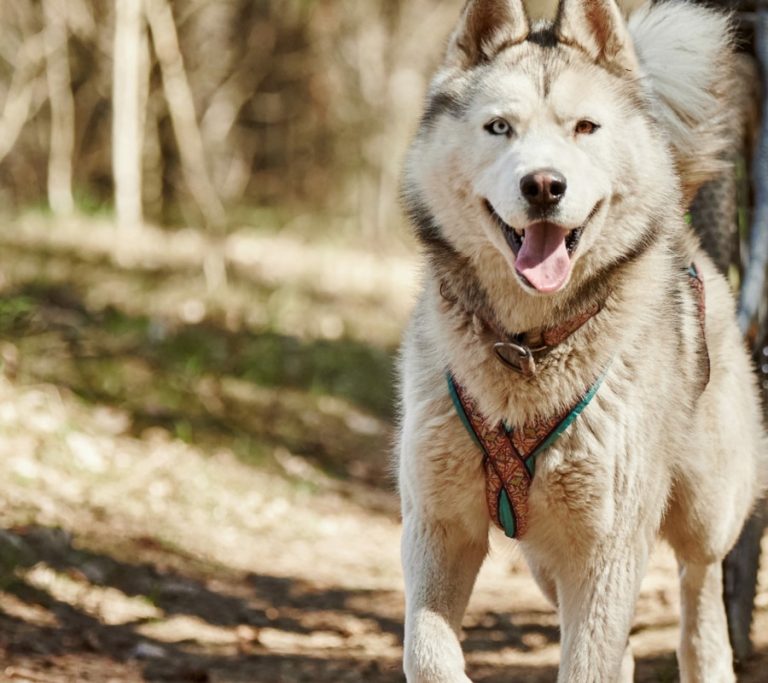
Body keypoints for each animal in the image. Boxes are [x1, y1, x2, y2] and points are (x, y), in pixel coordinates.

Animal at [396, 1, 768, 683]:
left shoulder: (606, 549)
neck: (527, 347)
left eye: (585, 128)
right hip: (547, 556)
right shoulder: (438, 525)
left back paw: (708, 653)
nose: (545, 185)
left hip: (705, 508)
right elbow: (426, 652)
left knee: (700, 587)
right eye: (499, 127)